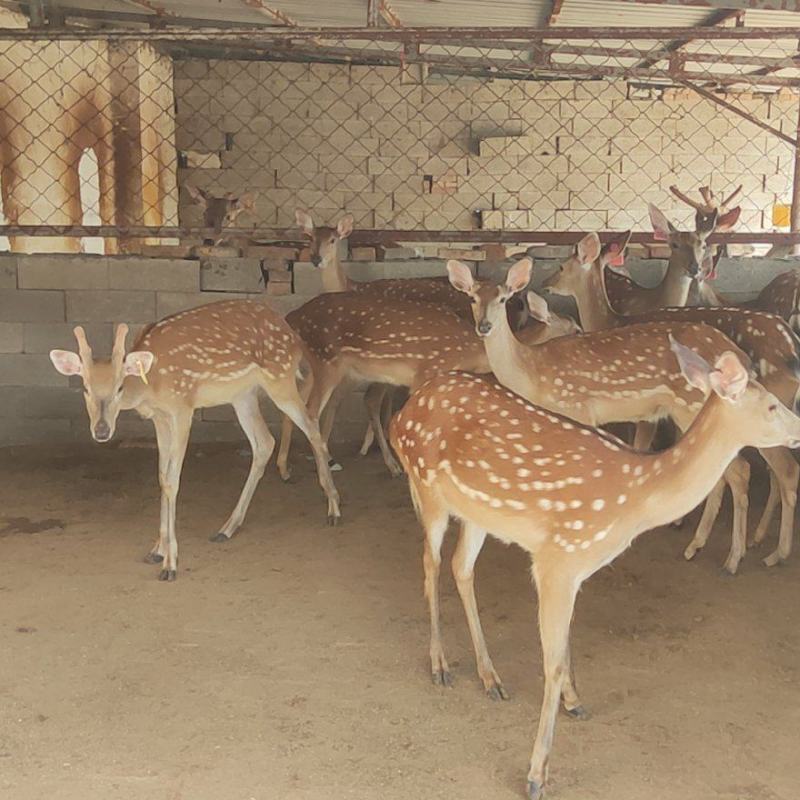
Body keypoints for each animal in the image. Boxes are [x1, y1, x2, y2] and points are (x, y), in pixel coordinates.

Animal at [49, 300, 341, 581]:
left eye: (120, 386)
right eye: (85, 387)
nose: (101, 431)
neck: (151, 385)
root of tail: (291, 333)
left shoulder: (182, 407)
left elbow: (172, 480)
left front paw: (170, 564)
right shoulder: (159, 418)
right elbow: (161, 477)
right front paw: (156, 550)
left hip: (280, 378)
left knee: (311, 425)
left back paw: (333, 509)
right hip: (242, 394)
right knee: (264, 442)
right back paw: (227, 528)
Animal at [389, 346, 800, 800]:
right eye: (772, 405)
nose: (798, 432)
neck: (634, 498)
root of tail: (401, 416)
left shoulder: (575, 569)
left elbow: (567, 644)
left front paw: (574, 700)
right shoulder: (558, 557)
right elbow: (550, 663)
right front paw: (536, 775)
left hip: (478, 512)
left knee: (462, 567)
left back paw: (490, 678)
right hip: (427, 488)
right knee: (431, 564)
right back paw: (440, 665)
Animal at [448, 257, 760, 575]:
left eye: (503, 298)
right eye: (472, 297)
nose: (484, 326)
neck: (533, 373)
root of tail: (741, 356)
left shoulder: (577, 408)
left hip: (694, 405)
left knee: (739, 470)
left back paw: (732, 558)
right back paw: (697, 546)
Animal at [544, 231, 800, 569]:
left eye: (561, 266)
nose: (545, 284)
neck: (609, 322)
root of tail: (792, 347)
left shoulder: (647, 413)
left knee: (783, 470)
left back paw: (759, 554)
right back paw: (752, 541)